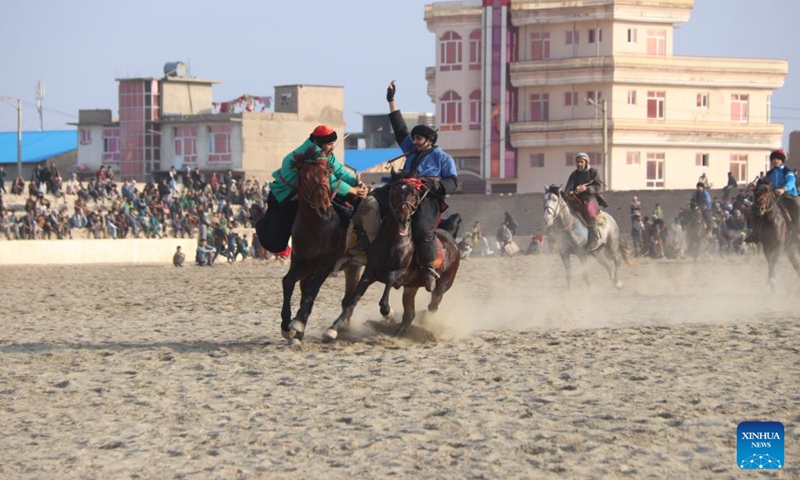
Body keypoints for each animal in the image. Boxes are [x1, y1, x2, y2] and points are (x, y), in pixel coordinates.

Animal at [278, 158, 360, 344]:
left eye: (326, 174)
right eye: (305, 177)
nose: (324, 208)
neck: (315, 227)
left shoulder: (326, 263)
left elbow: (312, 290)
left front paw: (297, 322)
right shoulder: (302, 262)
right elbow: (288, 282)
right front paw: (287, 327)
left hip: (354, 266)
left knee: (347, 299)